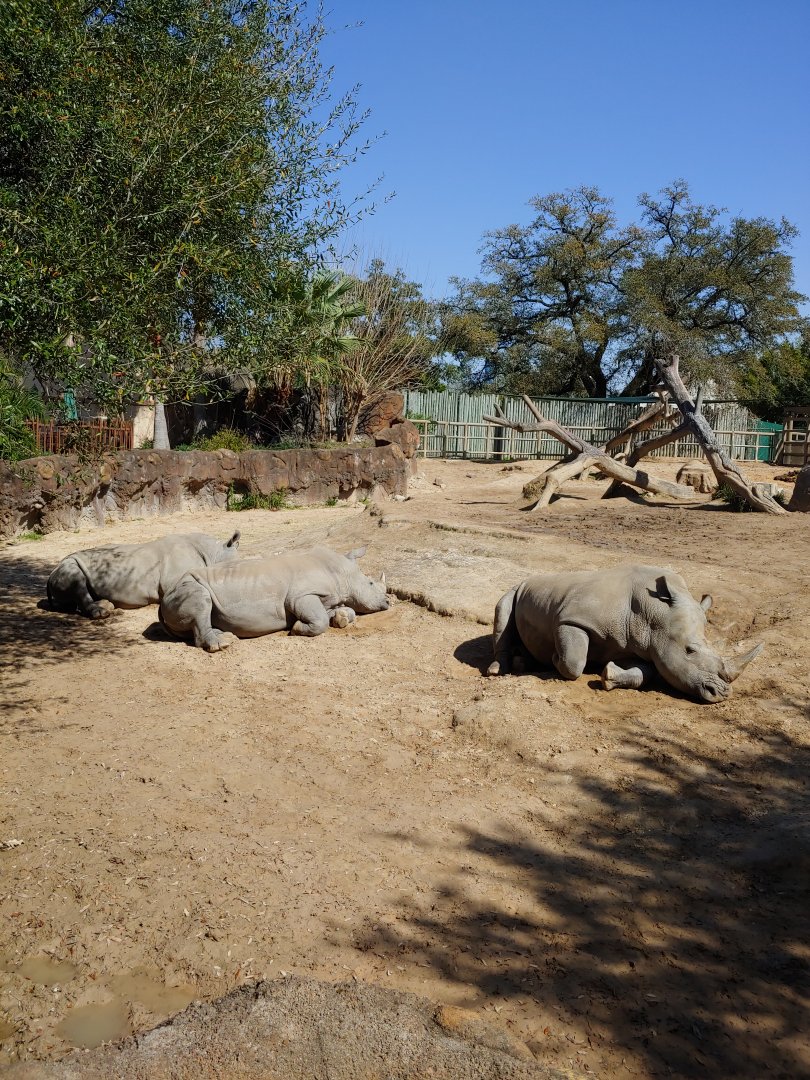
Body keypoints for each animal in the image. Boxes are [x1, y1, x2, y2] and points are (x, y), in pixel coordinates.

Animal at [46, 531, 241, 619]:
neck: (213, 552)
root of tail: (48, 579)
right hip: (68, 563)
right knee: (76, 579)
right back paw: (103, 612)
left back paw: (107, 605)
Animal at [158, 545, 389, 651]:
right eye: (370, 583)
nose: (388, 602)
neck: (340, 571)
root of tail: (161, 603)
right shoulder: (301, 596)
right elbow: (319, 620)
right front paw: (296, 628)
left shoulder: (326, 599)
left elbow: (341, 611)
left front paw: (341, 619)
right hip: (188, 587)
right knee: (202, 601)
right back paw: (223, 644)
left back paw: (227, 636)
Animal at [487, 564, 762, 703]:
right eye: (690, 650)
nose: (722, 694)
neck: (654, 613)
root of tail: (527, 579)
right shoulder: (572, 620)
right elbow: (574, 662)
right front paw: (554, 659)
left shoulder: (640, 644)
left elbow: (646, 672)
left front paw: (609, 675)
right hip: (515, 588)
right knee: (503, 609)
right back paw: (499, 669)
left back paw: (524, 662)